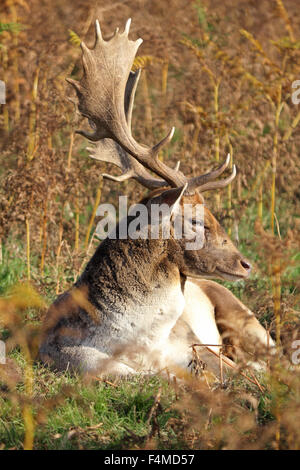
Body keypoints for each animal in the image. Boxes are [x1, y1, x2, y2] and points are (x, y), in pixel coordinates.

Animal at [38, 19, 276, 378]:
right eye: (197, 221)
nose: (246, 263)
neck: (141, 342)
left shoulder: (191, 342)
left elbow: (233, 372)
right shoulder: (63, 355)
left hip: (248, 319)